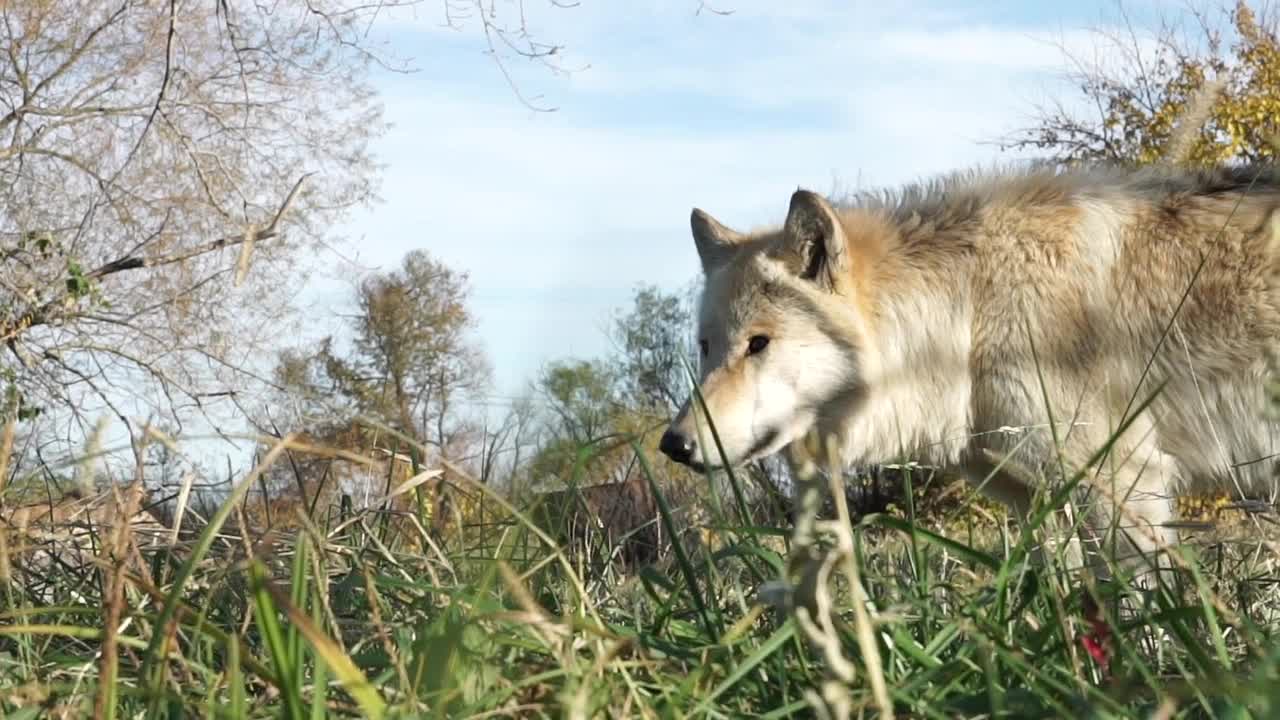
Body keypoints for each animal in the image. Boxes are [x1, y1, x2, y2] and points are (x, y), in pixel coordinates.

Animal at [660, 159, 1280, 573]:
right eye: (706, 346)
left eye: (758, 344)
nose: (672, 444)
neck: (972, 316)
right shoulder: (1042, 507)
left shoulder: (1124, 490)